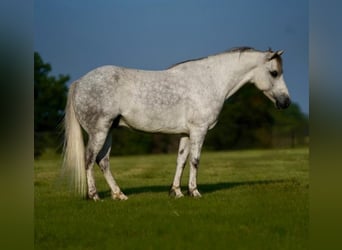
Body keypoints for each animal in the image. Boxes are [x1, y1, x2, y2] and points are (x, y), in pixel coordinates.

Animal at [62, 47, 290, 201]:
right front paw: (194, 191)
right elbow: (195, 161)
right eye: (274, 73)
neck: (210, 80)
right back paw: (94, 196)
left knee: (103, 161)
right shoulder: (199, 130)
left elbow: (181, 160)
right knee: (89, 159)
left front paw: (176, 191)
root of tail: (80, 82)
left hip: (108, 131)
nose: (286, 102)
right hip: (99, 132)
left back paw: (119, 195)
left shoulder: (186, 133)